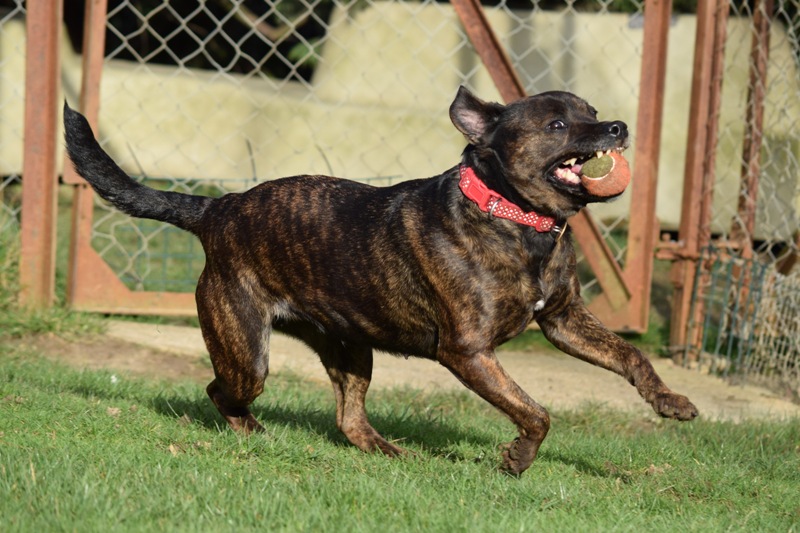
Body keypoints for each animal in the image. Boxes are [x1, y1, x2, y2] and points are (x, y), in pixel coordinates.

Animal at [65, 87, 696, 474]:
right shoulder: (468, 352)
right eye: (559, 123)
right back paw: (250, 432)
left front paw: (671, 401)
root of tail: (216, 209)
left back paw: (385, 451)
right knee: (220, 391)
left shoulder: (563, 320)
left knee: (348, 418)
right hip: (247, 351)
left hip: (350, 349)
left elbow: (630, 357)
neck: (517, 221)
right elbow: (536, 411)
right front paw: (517, 458)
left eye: (592, 109)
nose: (617, 126)